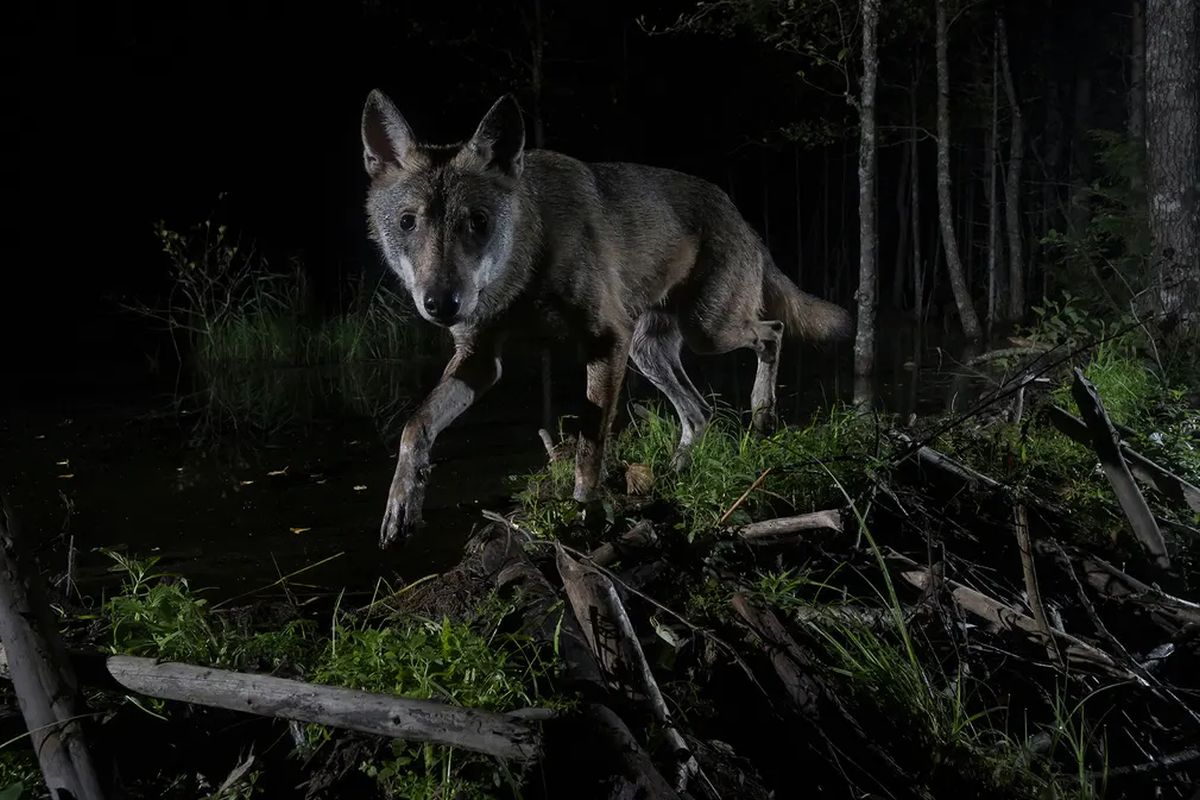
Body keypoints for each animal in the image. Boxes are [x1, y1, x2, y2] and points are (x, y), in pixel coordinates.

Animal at [360, 89, 849, 551]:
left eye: (477, 222)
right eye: (407, 222)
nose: (441, 304)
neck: (525, 273)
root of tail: (741, 216)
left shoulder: (606, 340)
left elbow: (590, 442)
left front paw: (584, 513)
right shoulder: (479, 360)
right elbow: (415, 426)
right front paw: (401, 504)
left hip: (708, 330)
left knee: (772, 332)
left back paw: (762, 412)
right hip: (649, 351)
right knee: (700, 412)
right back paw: (676, 472)